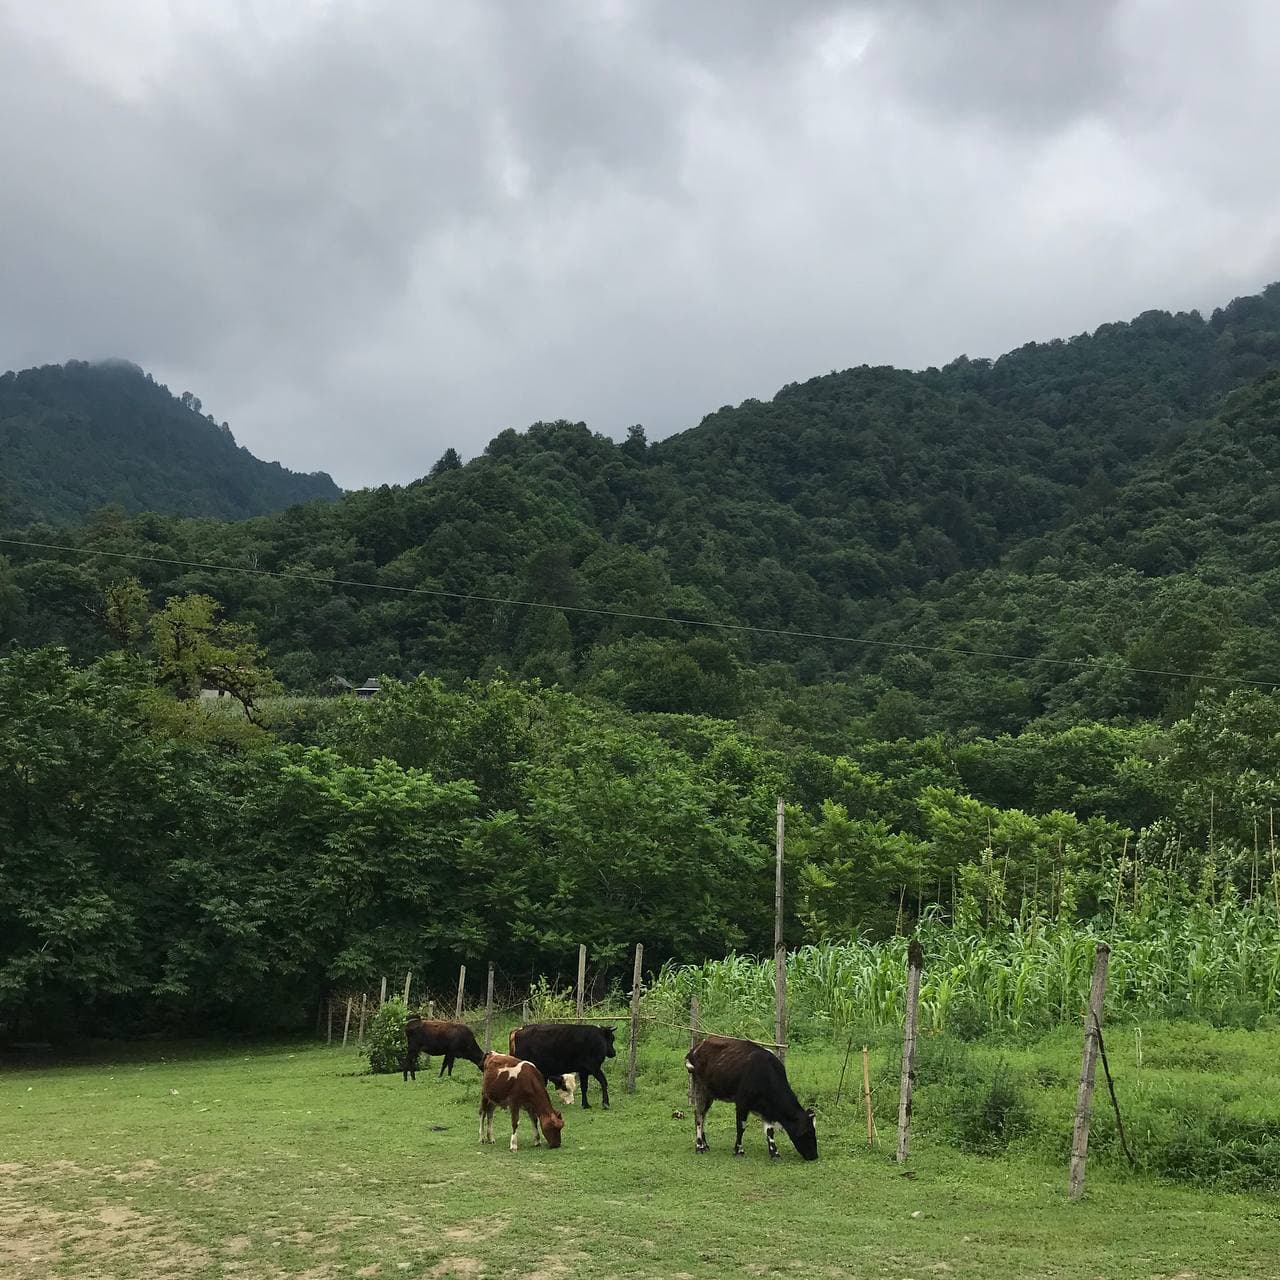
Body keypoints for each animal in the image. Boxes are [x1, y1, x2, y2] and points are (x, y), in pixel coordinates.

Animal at [686, 1029, 814, 1162]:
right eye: (807, 1132)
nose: (814, 1156)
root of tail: (696, 1048)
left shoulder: (767, 1109)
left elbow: (770, 1131)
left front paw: (775, 1153)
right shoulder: (742, 1103)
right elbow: (741, 1127)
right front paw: (739, 1150)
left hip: (710, 1094)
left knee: (703, 1115)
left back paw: (705, 1145)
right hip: (701, 1089)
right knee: (699, 1116)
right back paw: (699, 1146)